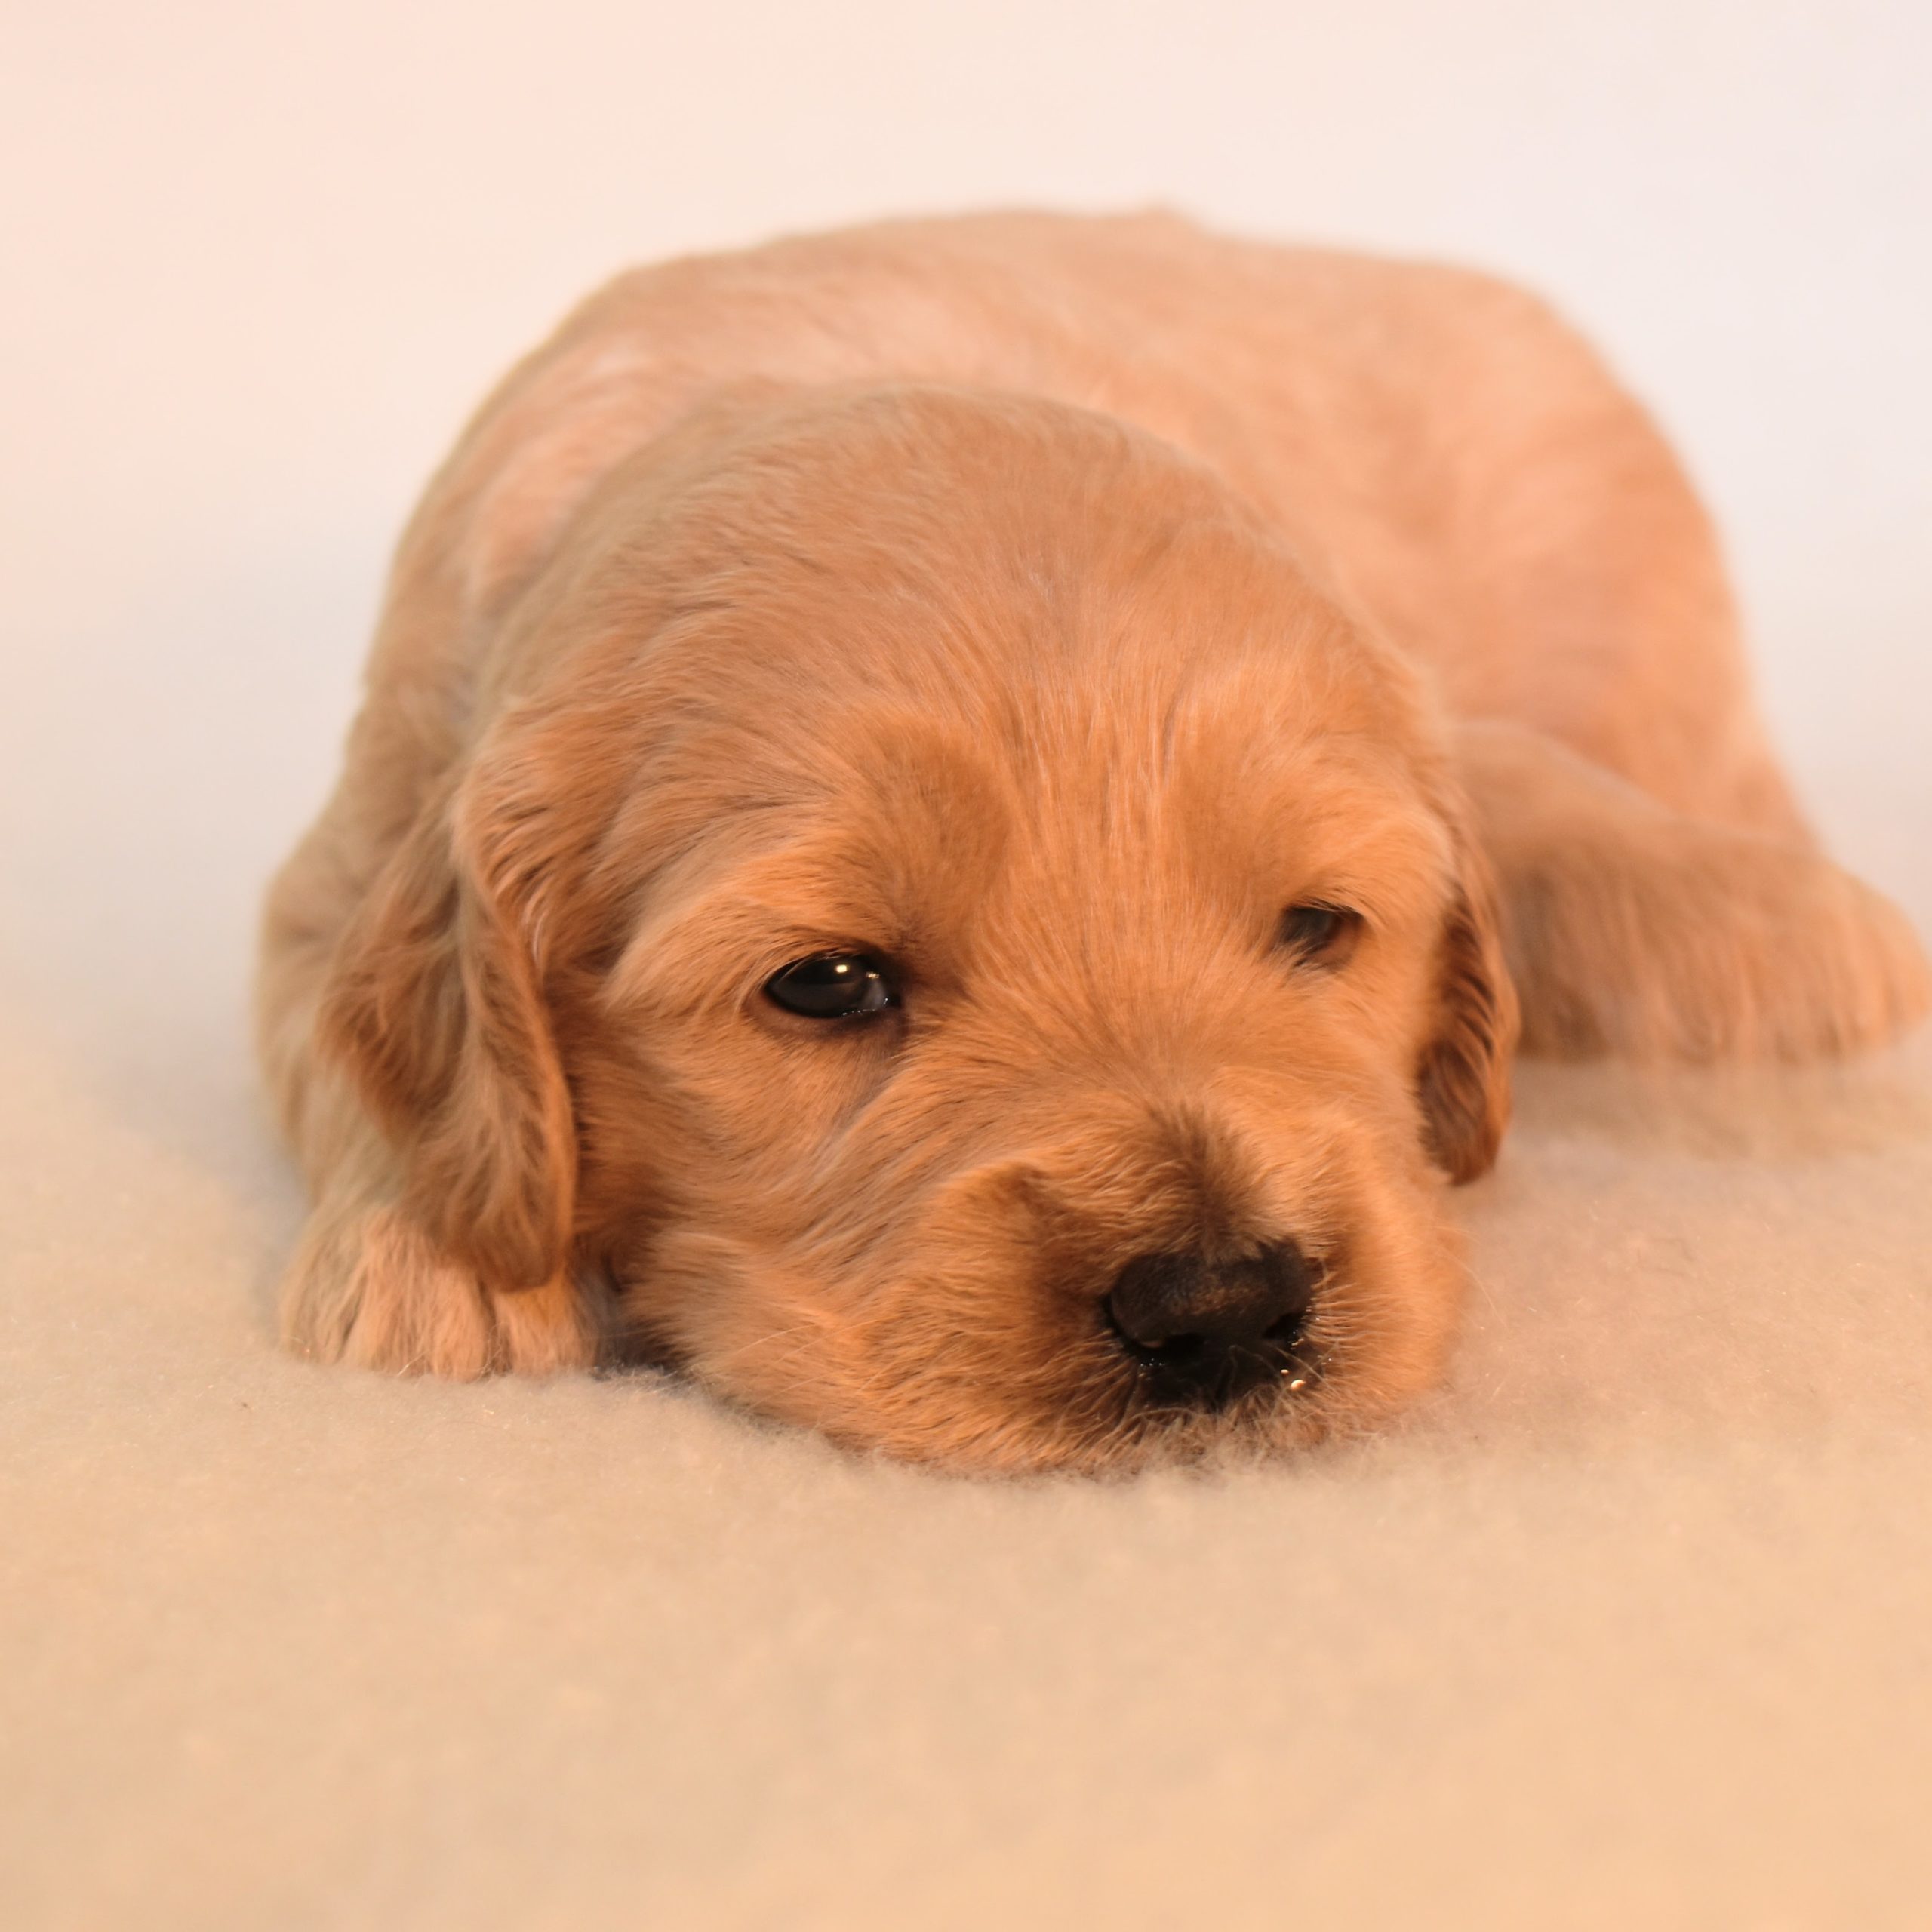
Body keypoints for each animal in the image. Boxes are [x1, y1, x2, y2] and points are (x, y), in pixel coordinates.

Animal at [260, 211, 1932, 1468]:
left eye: (1316, 927)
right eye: (827, 984)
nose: (1223, 1306)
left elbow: (1517, 784)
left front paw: (1781, 933)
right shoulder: (342, 854)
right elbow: (338, 1040)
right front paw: (436, 1263)